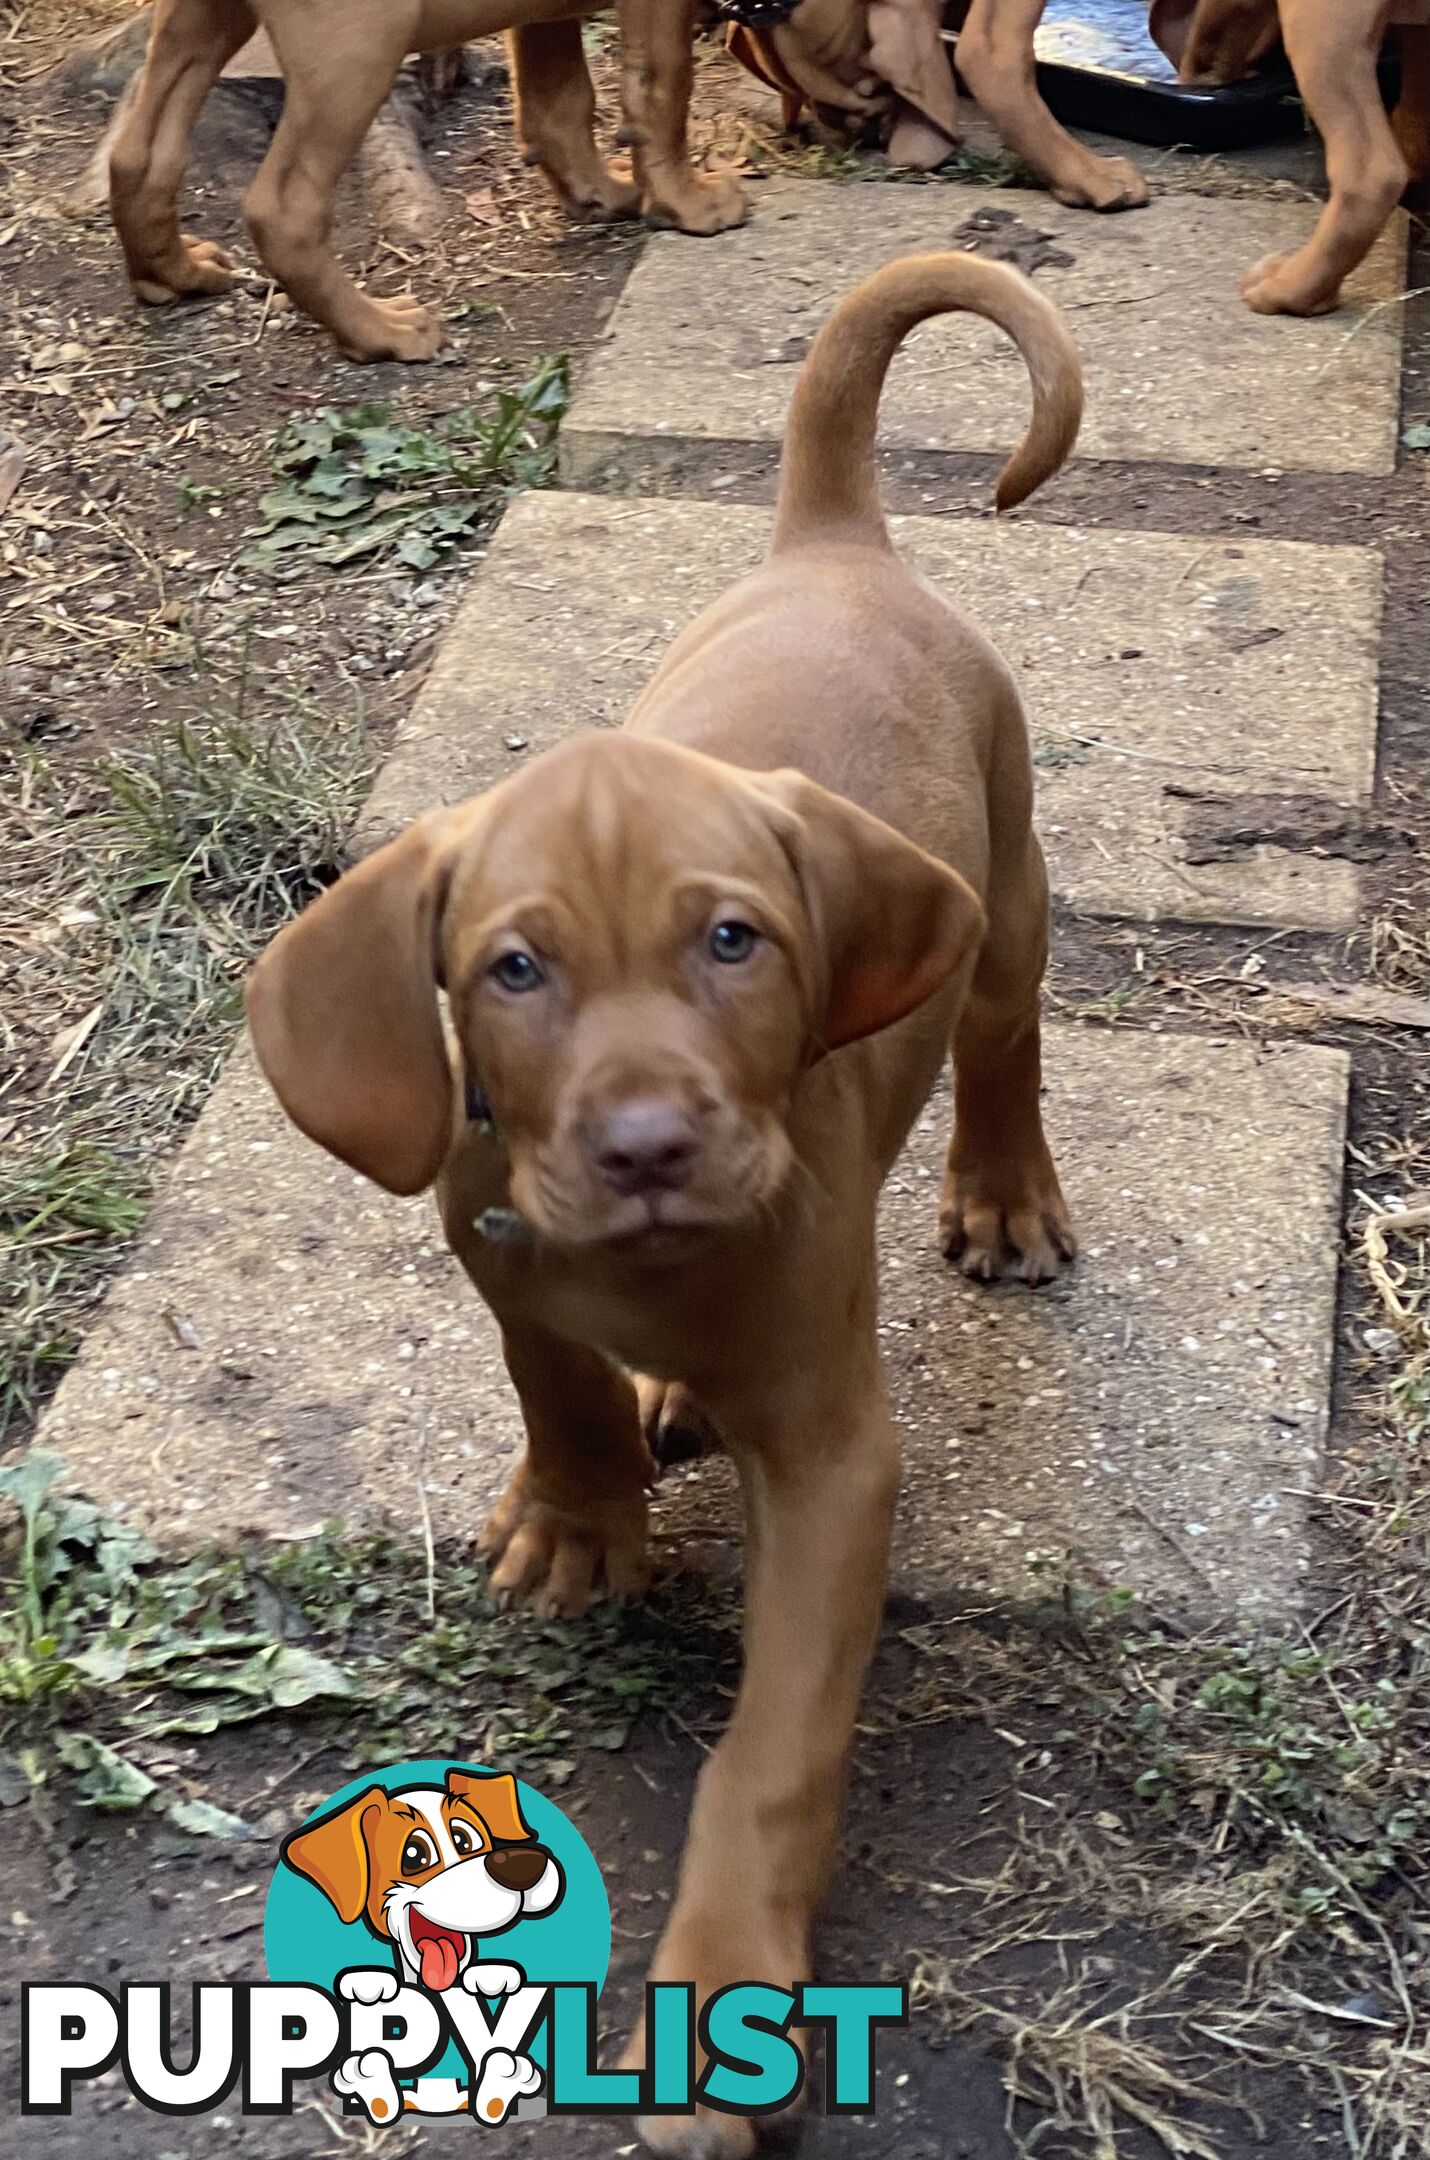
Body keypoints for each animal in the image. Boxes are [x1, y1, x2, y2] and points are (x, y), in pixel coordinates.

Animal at [106, 0, 743, 362]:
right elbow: (663, 82)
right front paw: (688, 204)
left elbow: (559, 98)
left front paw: (601, 194)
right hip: (358, 44)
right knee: (284, 210)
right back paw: (379, 333)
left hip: (201, 21)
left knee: (139, 156)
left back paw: (175, 275)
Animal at [246, 248, 1080, 2142]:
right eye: (514, 970)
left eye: (734, 944)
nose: (641, 1147)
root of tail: (835, 545)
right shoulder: (499, 1250)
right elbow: (551, 1379)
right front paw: (581, 1508)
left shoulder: (840, 1462)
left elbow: (770, 1753)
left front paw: (722, 2000)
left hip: (1002, 895)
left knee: (1002, 1043)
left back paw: (1002, 1198)